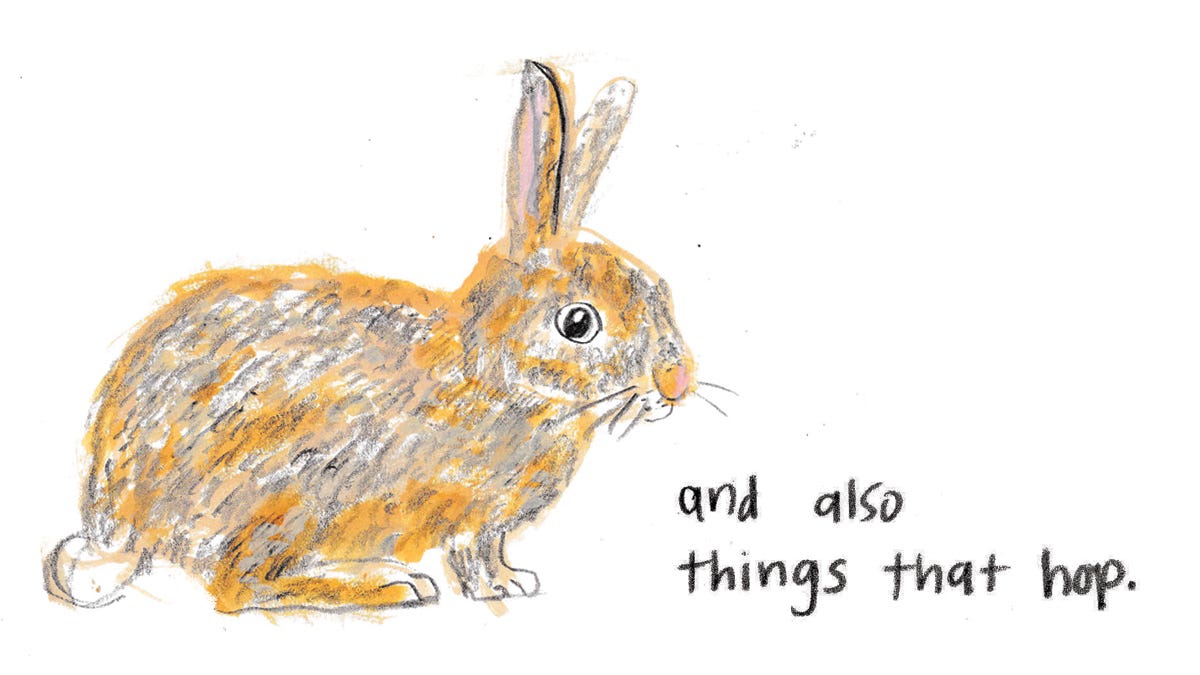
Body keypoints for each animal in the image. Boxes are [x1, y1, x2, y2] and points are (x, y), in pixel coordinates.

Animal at [43, 60, 702, 613]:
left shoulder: (489, 521)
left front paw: (514, 581)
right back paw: (384, 583)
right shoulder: (464, 509)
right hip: (291, 497)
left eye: (661, 291)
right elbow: (470, 551)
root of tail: (120, 522)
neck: (493, 378)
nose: (677, 381)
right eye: (578, 324)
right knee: (238, 586)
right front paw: (494, 590)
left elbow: (490, 551)